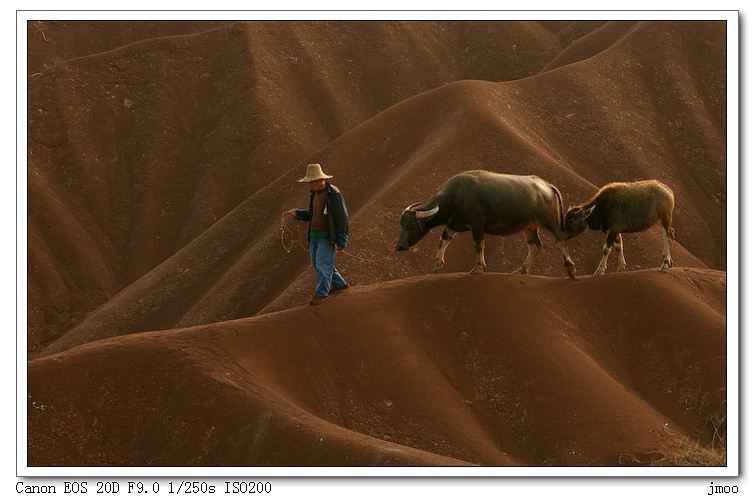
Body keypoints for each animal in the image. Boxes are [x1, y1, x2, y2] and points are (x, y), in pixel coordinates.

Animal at [392, 170, 576, 280]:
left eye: (413, 225)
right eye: (402, 224)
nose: (399, 246)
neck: (456, 197)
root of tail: (547, 186)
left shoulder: (478, 225)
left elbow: (479, 245)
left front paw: (479, 267)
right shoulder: (452, 225)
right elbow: (443, 240)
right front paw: (437, 264)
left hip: (549, 221)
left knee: (561, 239)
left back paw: (571, 269)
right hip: (529, 227)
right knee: (535, 245)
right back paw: (521, 270)